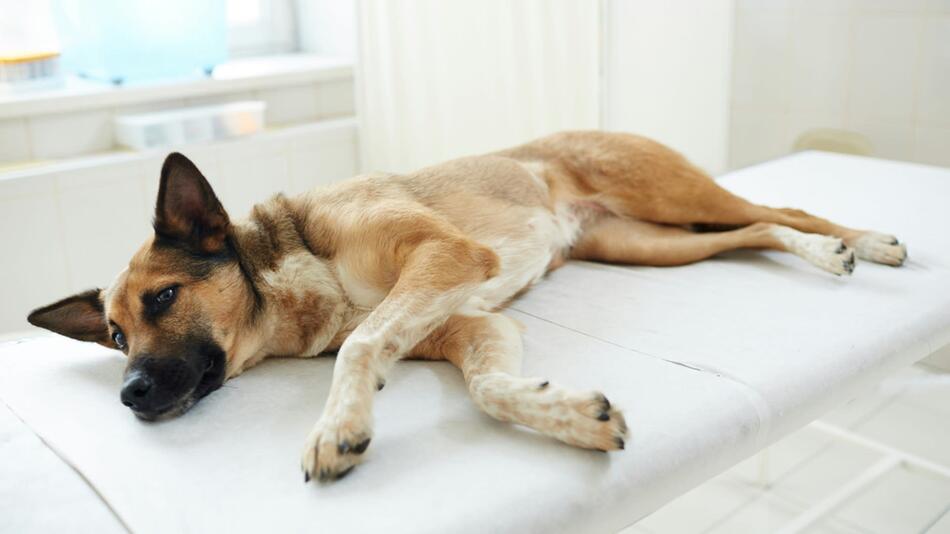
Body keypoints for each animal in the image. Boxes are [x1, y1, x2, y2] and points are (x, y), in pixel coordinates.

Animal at [26, 132, 912, 484]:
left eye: (164, 296)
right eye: (115, 335)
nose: (130, 394)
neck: (299, 283)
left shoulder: (446, 258)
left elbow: (362, 346)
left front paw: (339, 427)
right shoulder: (476, 321)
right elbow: (486, 387)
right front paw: (573, 417)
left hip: (672, 194)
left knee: (784, 207)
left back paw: (863, 242)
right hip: (646, 243)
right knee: (755, 230)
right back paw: (827, 252)